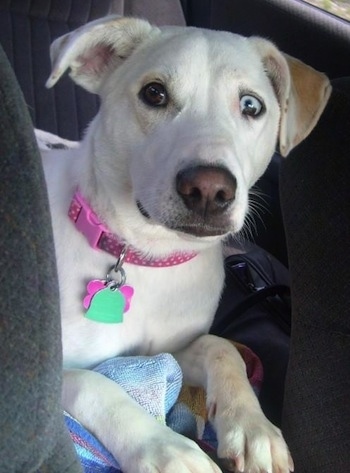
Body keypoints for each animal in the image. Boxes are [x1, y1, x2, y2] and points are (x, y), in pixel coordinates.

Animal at [41, 14, 330, 472]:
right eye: (154, 93)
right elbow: (96, 385)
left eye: (251, 106)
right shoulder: (47, 375)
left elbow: (223, 350)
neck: (148, 257)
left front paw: (253, 427)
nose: (209, 190)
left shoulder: (176, 348)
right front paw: (167, 450)